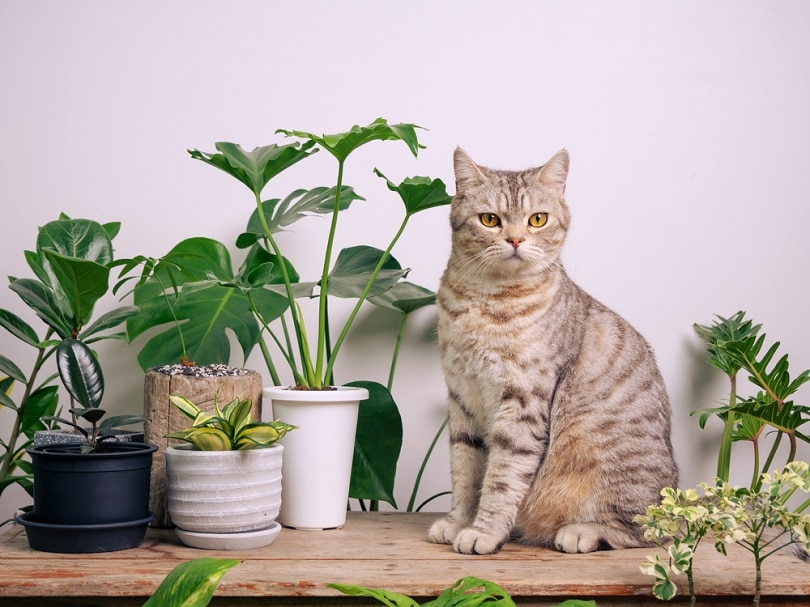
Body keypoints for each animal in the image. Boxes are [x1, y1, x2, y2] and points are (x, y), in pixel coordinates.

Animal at [426, 147, 680, 556]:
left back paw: (581, 532)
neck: (485, 301)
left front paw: (484, 531)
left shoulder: (522, 402)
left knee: (645, 532)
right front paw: (459, 521)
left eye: (537, 219)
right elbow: (465, 471)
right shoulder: (462, 398)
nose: (515, 240)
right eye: (490, 220)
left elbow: (501, 478)